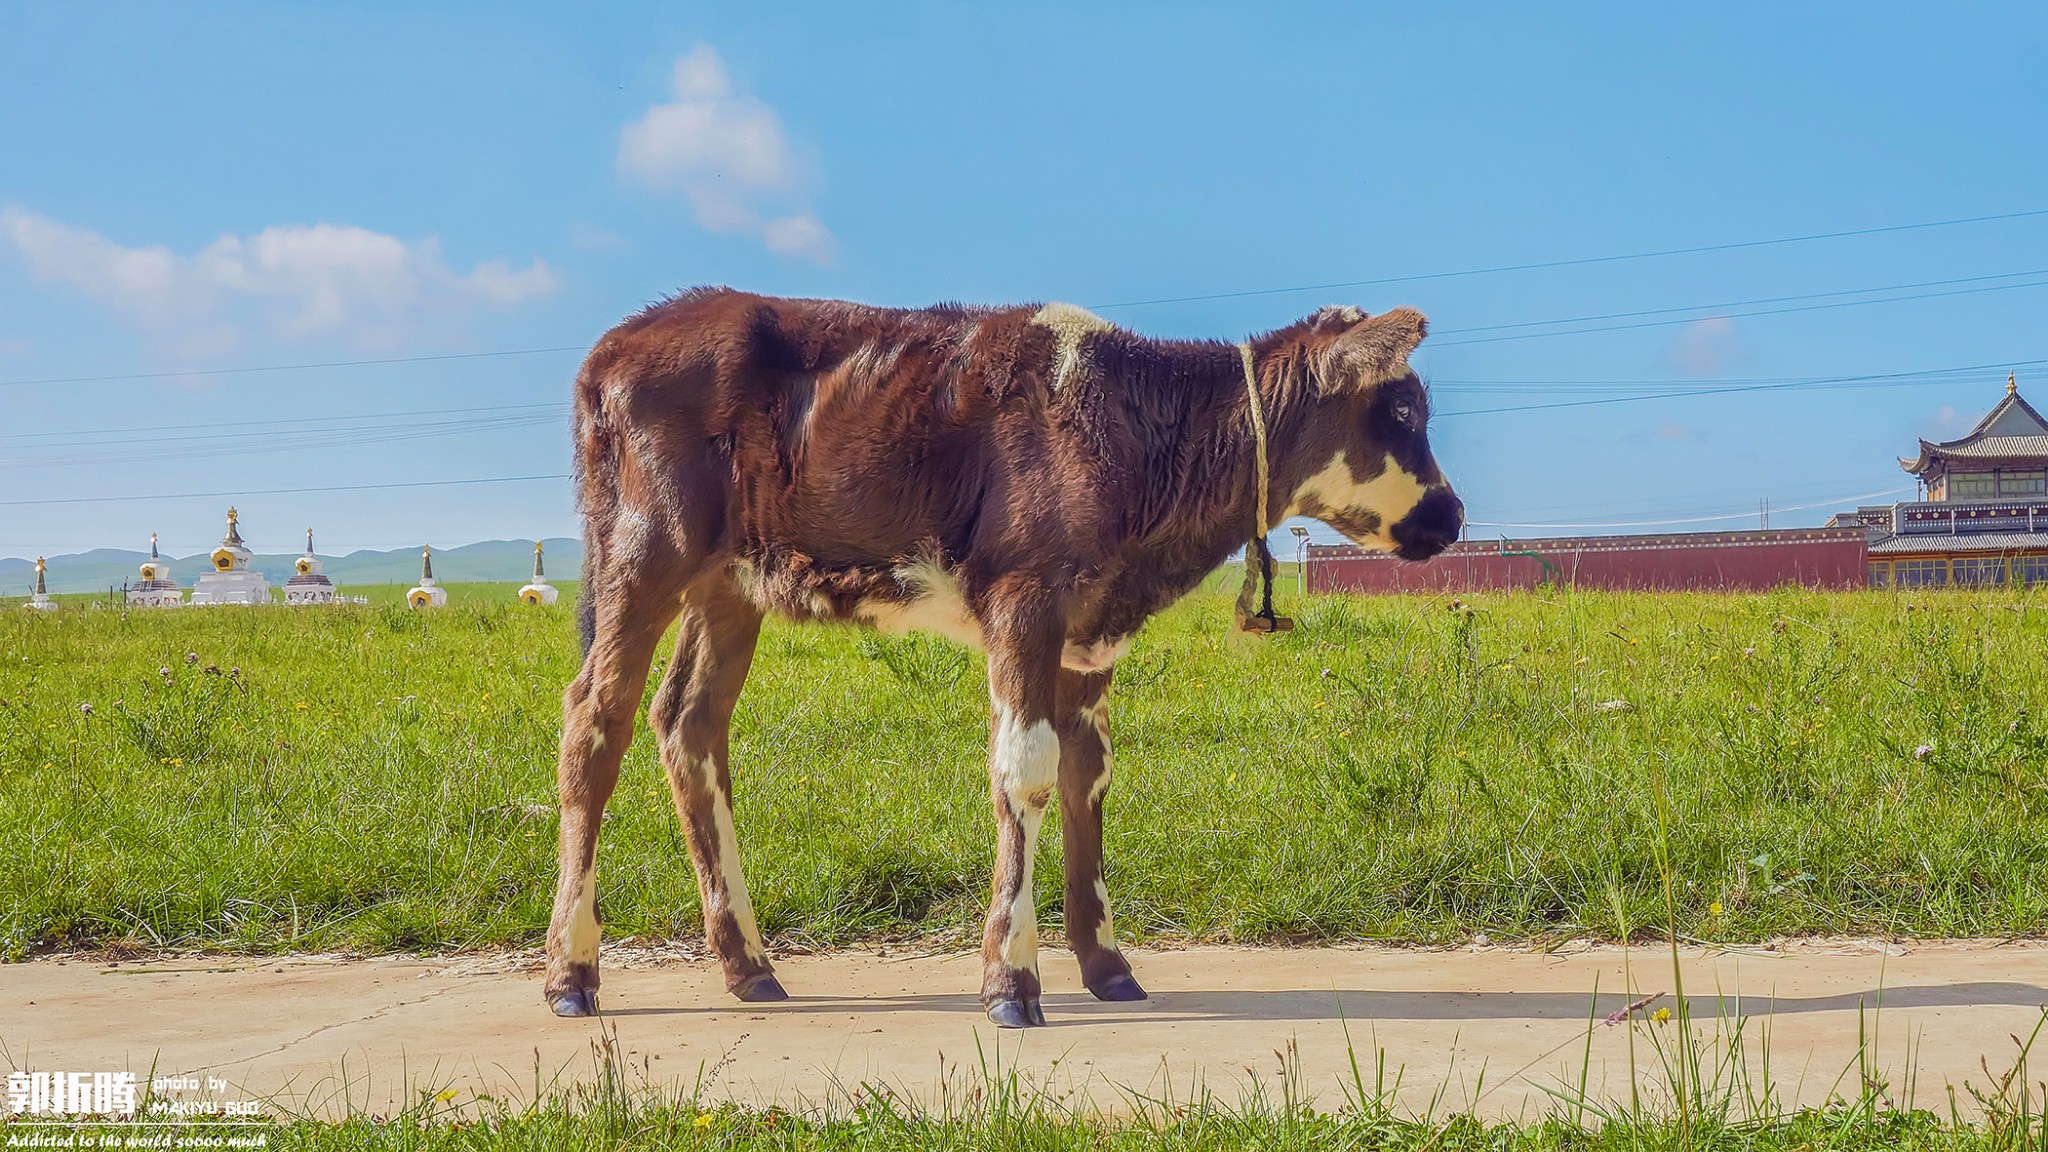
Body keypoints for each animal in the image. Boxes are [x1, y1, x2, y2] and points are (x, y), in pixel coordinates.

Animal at [552, 286, 1466, 1020]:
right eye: (1403, 414)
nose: (1451, 515)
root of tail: (628, 334)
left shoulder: (1090, 628)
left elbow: (1087, 777)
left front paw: (1108, 967)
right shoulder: (1026, 600)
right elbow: (1025, 770)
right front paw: (1011, 980)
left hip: (730, 582)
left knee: (689, 725)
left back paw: (749, 965)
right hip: (644, 547)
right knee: (595, 722)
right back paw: (573, 971)